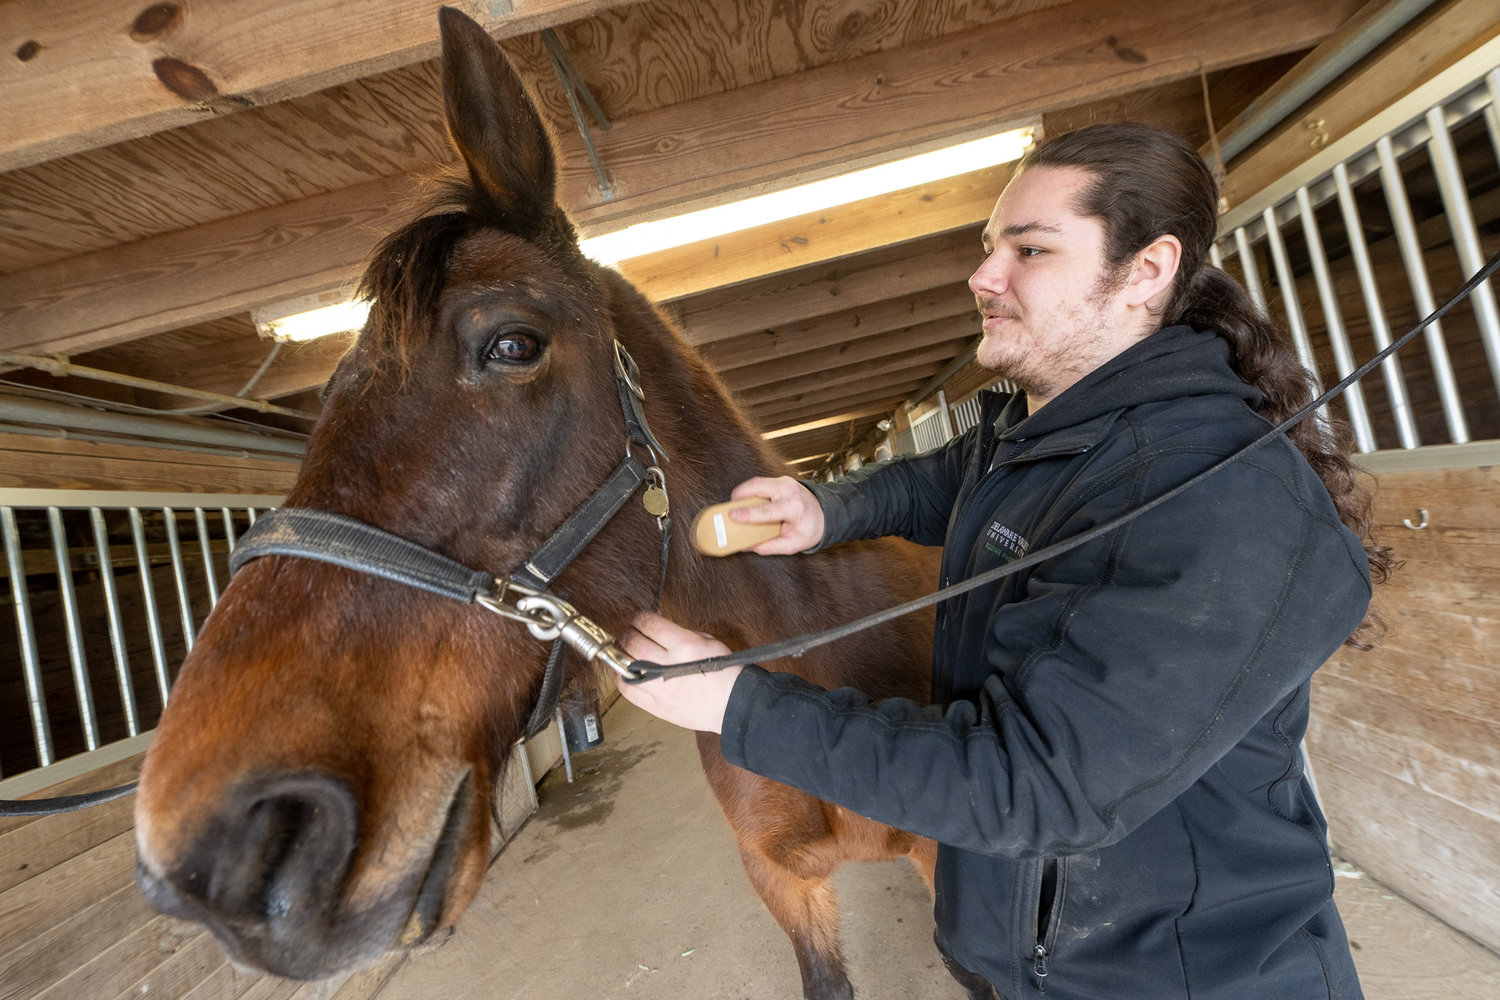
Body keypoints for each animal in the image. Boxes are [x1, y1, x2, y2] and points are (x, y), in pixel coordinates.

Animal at [135, 9, 990, 1000]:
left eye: (512, 344)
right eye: (333, 392)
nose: (224, 854)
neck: (802, 657)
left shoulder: (942, 868)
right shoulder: (779, 880)